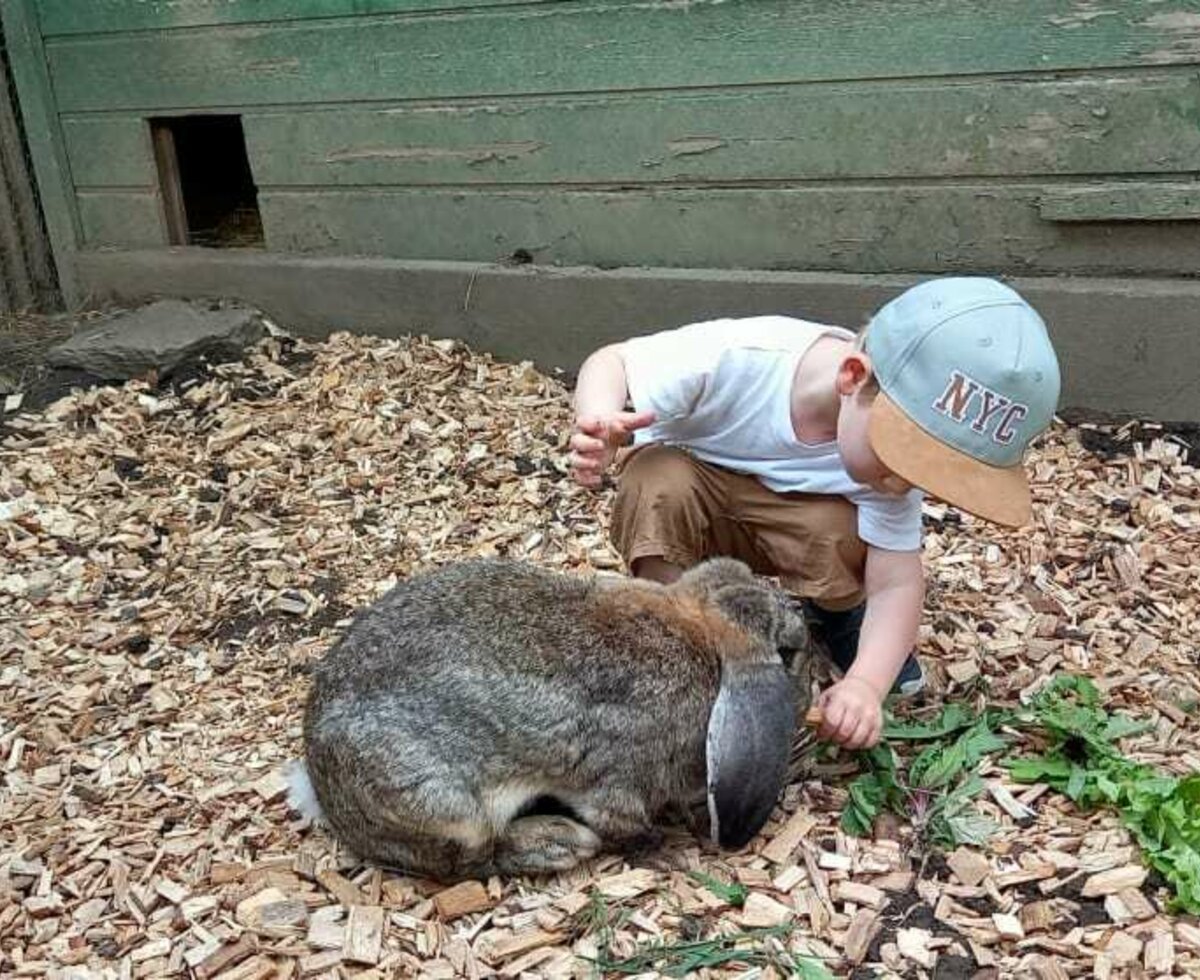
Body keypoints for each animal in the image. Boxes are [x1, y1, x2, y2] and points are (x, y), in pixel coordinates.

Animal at [288, 558, 816, 878]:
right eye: (789, 652)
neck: (702, 638)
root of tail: (325, 791)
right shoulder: (623, 780)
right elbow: (623, 823)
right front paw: (664, 847)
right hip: (443, 805)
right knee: (469, 857)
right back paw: (559, 843)